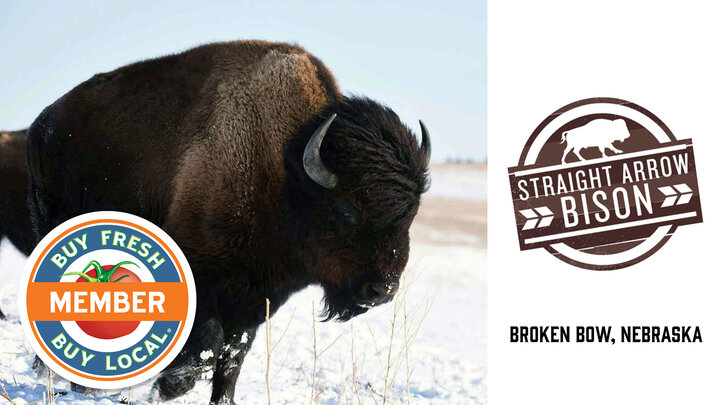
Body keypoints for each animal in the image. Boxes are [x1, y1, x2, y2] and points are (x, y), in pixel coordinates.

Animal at [2, 40, 430, 403]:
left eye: (411, 212)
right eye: (345, 210)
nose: (382, 289)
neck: (285, 170)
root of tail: (42, 124)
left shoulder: (256, 298)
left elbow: (232, 357)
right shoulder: (203, 277)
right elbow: (204, 351)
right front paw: (160, 388)